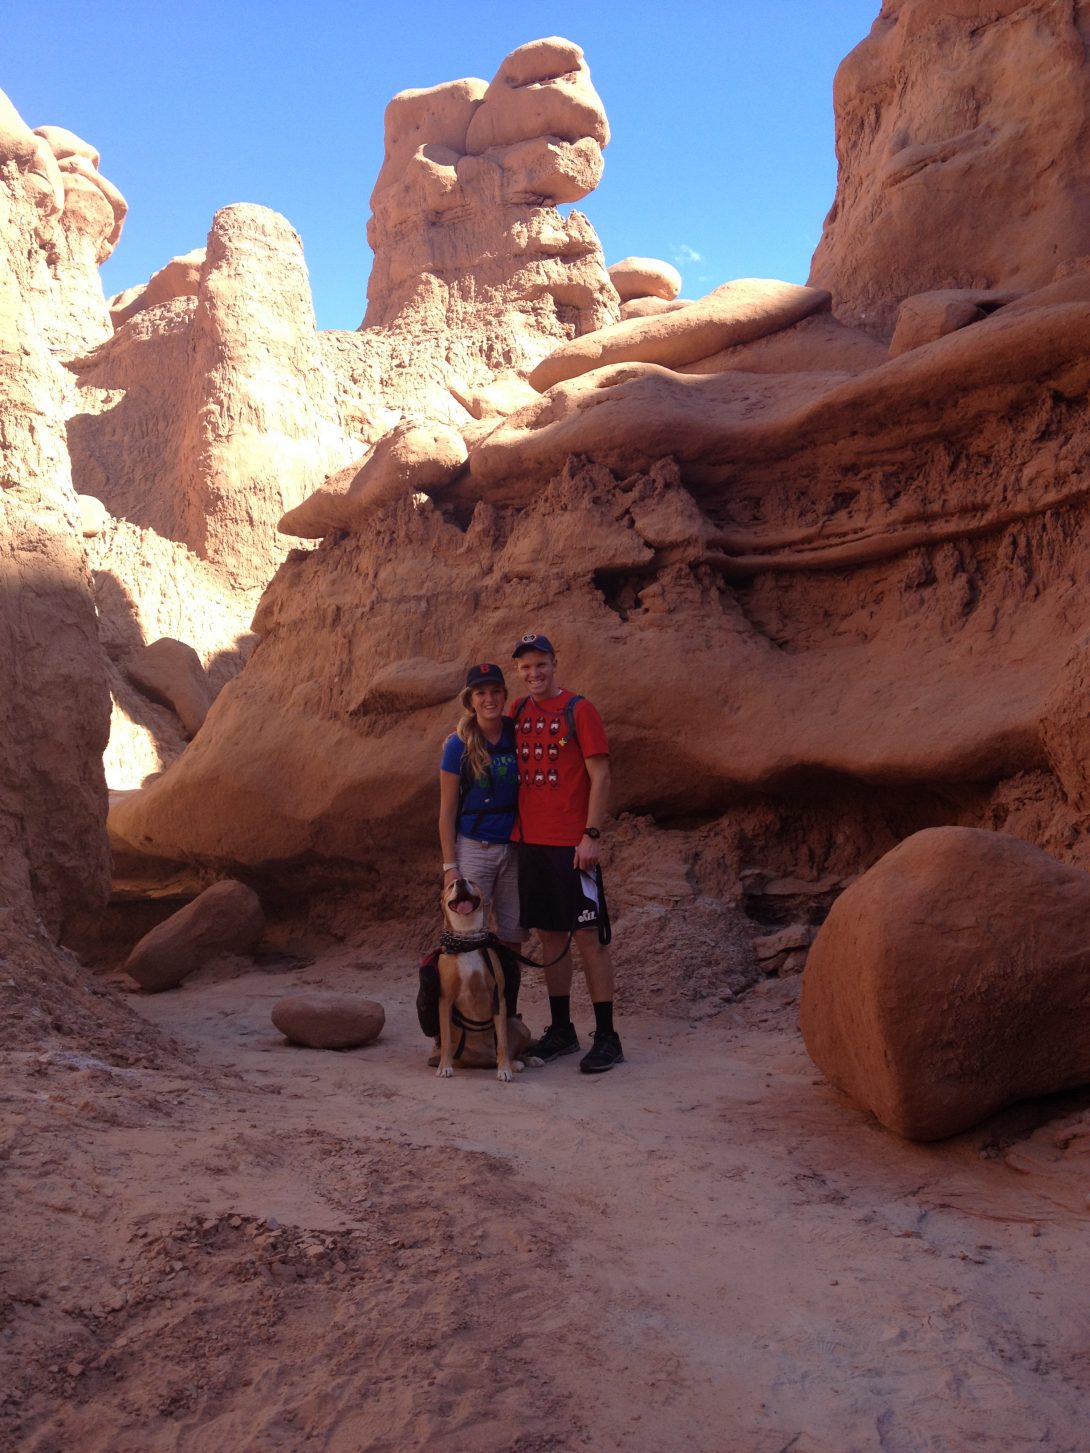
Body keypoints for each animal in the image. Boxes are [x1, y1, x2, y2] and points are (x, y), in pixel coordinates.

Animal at [436, 871, 520, 1081]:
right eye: (451, 886)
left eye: (472, 881)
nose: (460, 881)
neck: (467, 939)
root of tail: (482, 1061)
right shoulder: (445, 1000)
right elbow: (446, 1038)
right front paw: (444, 1066)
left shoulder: (499, 998)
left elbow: (503, 1042)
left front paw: (505, 1069)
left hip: (516, 1022)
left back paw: (519, 1063)